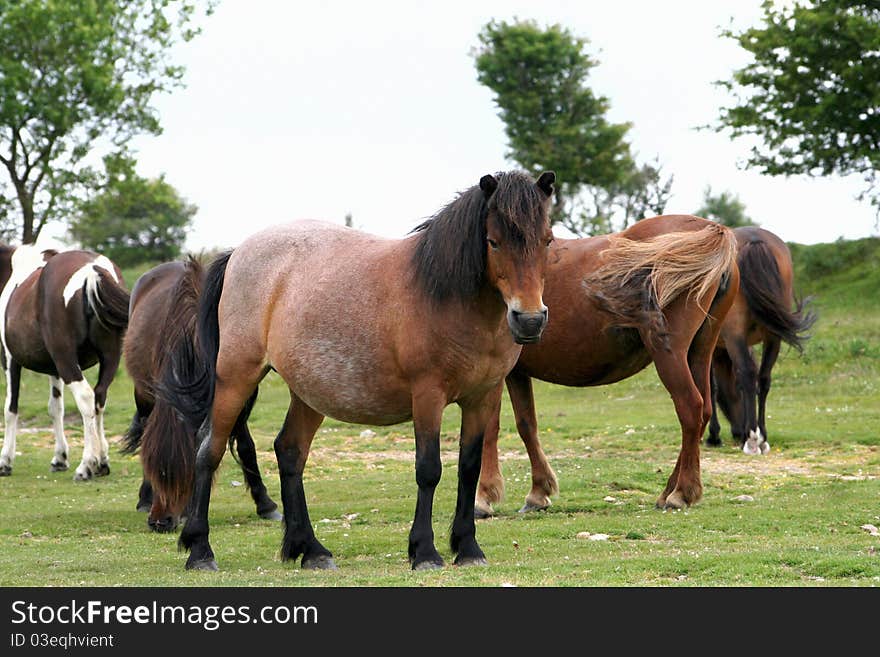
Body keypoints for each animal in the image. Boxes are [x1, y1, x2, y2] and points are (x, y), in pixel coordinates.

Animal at [0, 243, 129, 480]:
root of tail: (92, 270)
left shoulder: (10, 359)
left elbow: (10, 408)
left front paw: (5, 461)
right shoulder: (55, 369)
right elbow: (56, 408)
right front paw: (60, 457)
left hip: (66, 360)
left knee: (86, 397)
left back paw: (86, 465)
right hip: (109, 359)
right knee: (99, 398)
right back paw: (102, 461)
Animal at [122, 258, 280, 532]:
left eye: (185, 470)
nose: (159, 522)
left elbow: (246, 446)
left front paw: (266, 504)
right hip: (142, 395)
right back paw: (144, 498)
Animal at [145, 172, 556, 572]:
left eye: (548, 241)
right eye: (493, 242)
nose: (530, 319)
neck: (447, 297)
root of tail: (237, 253)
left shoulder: (483, 396)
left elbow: (469, 468)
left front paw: (468, 547)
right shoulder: (428, 396)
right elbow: (429, 469)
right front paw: (424, 552)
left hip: (309, 393)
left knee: (289, 451)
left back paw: (310, 550)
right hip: (236, 378)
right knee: (208, 451)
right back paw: (200, 551)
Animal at [478, 217, 740, 516]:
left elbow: (489, 429)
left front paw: (484, 496)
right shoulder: (517, 374)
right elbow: (526, 425)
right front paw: (539, 492)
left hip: (671, 355)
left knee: (691, 409)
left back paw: (681, 493)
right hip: (700, 352)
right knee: (704, 411)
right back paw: (669, 491)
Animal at [704, 223, 816, 454]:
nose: (737, 430)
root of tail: (754, 240)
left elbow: (712, 386)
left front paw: (713, 435)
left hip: (736, 335)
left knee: (748, 374)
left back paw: (751, 440)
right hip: (773, 337)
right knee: (763, 378)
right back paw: (761, 436)